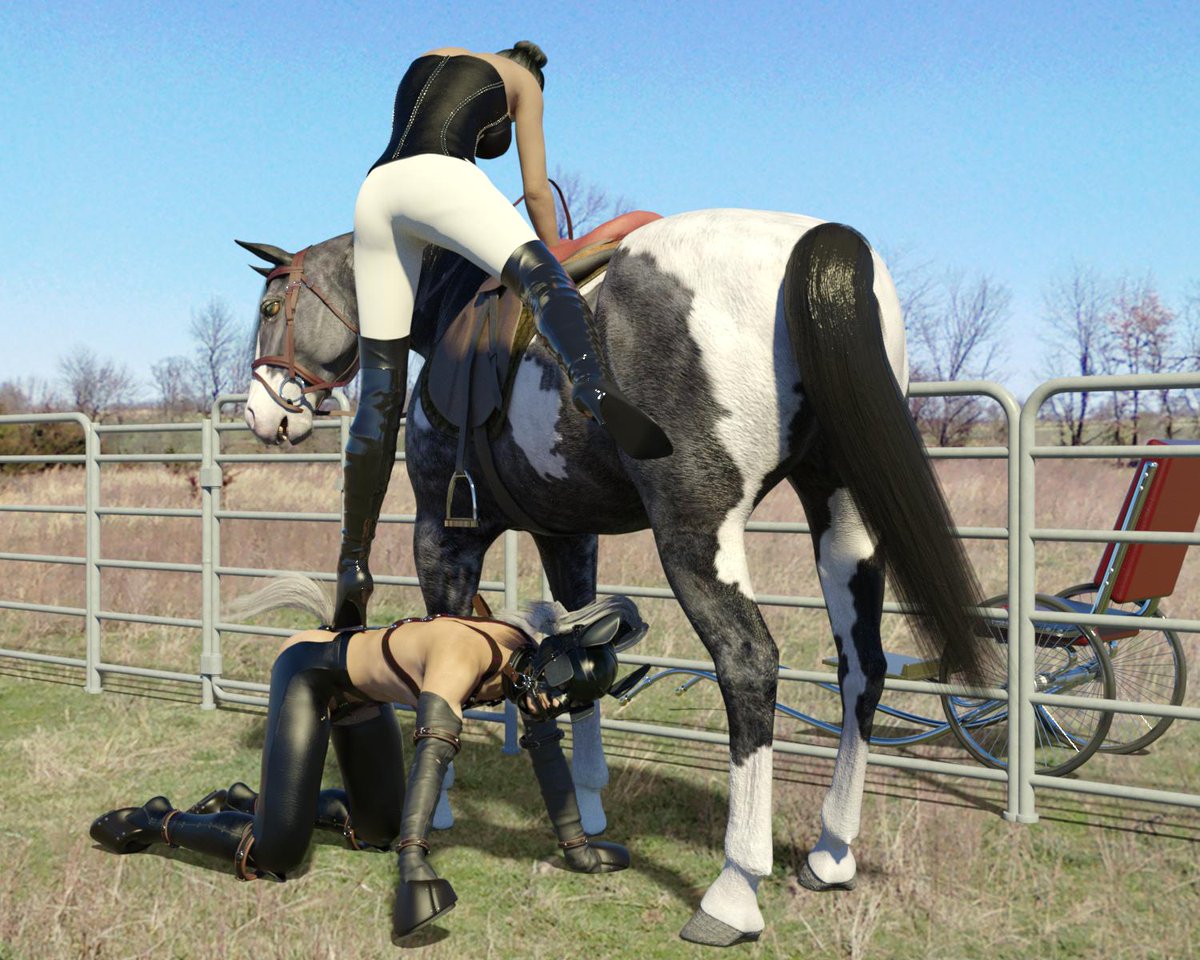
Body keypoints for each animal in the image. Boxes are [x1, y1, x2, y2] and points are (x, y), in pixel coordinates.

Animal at [238, 209, 985, 946]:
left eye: (271, 306)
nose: (262, 413)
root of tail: (811, 239)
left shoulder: (443, 538)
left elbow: (440, 656)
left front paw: (441, 810)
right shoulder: (568, 537)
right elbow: (580, 651)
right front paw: (591, 806)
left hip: (698, 534)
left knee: (749, 663)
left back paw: (734, 890)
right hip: (843, 518)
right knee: (863, 667)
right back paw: (832, 854)